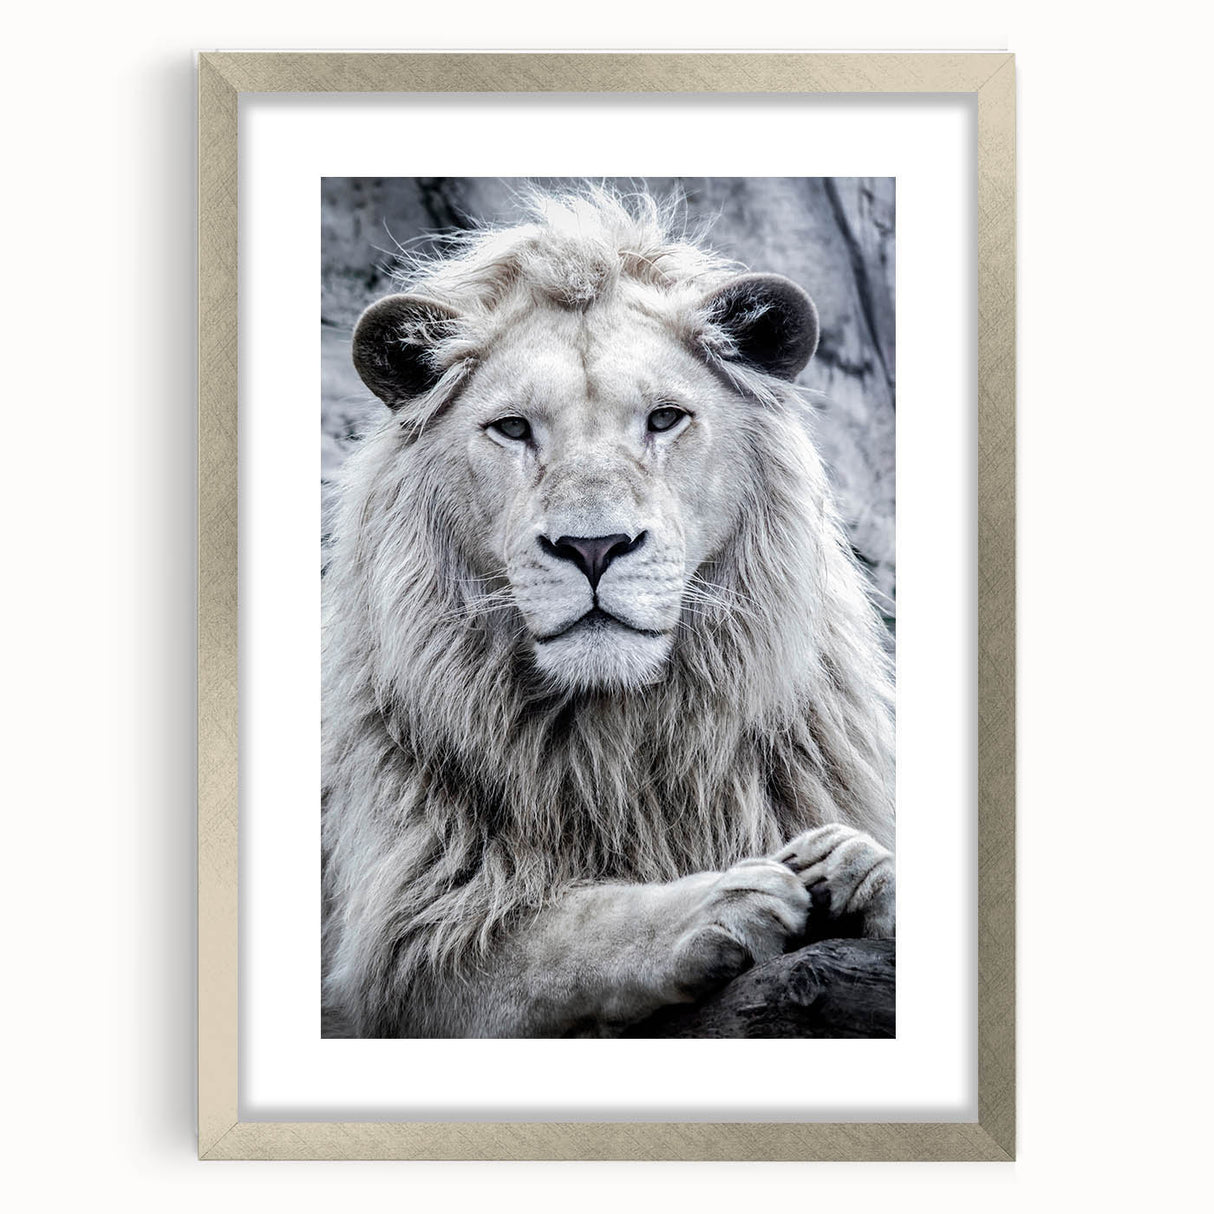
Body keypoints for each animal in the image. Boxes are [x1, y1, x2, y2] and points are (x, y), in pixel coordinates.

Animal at [322, 187, 895, 1038]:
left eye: (664, 419)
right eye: (513, 428)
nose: (593, 549)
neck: (618, 741)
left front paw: (861, 866)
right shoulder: (411, 948)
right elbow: (563, 931)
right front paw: (720, 900)